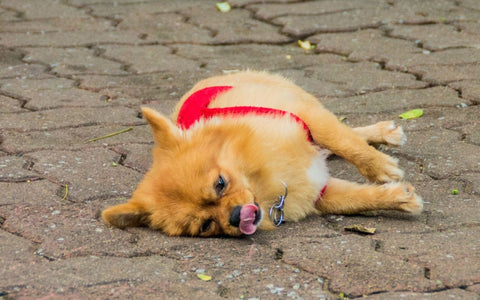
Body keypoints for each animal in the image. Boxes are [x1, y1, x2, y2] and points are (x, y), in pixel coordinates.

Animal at [102, 70, 424, 237]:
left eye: (220, 183)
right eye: (206, 225)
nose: (236, 217)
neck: (266, 180)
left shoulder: (308, 119)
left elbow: (343, 141)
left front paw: (381, 167)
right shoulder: (321, 192)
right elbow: (355, 200)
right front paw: (399, 198)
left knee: (343, 134)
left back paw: (383, 135)